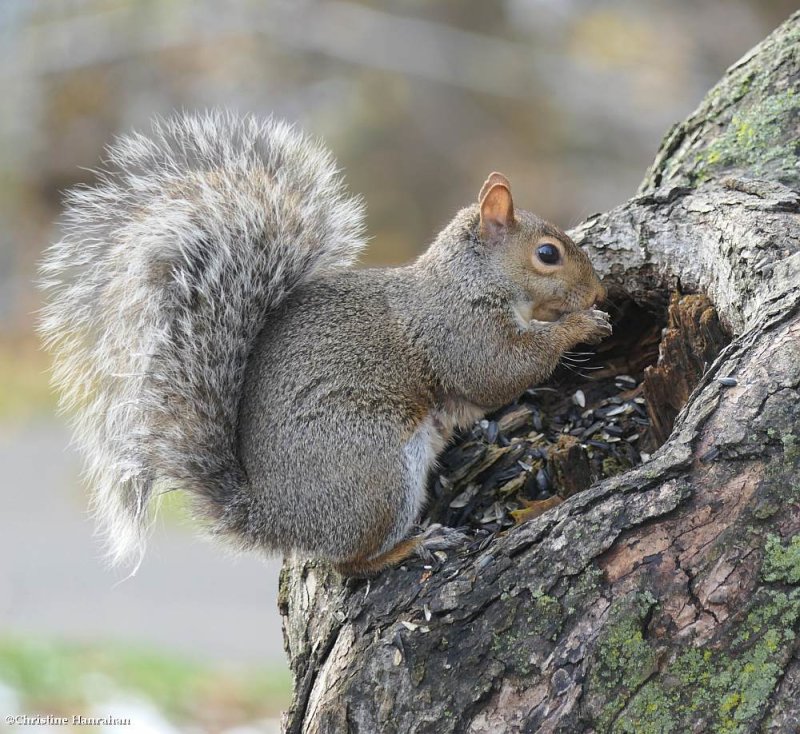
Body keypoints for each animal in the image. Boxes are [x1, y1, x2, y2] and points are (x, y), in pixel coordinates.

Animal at [39, 112, 612, 576]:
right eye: (547, 254)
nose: (599, 291)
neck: (470, 280)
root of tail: (278, 519)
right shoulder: (457, 331)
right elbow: (500, 371)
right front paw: (582, 325)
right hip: (378, 470)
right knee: (349, 565)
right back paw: (412, 545)